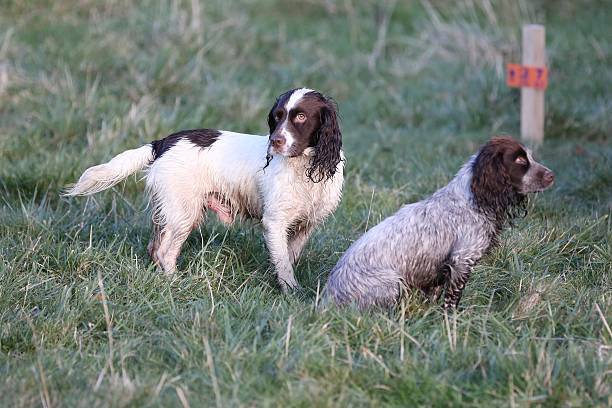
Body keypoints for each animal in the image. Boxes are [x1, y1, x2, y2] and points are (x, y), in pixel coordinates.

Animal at [67, 87, 346, 292]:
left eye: (300, 117)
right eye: (276, 117)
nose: (275, 141)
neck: (305, 166)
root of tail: (162, 143)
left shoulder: (306, 224)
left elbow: (289, 257)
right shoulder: (275, 222)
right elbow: (285, 264)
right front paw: (291, 292)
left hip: (170, 211)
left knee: (154, 248)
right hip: (183, 212)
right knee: (165, 252)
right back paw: (176, 283)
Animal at [326, 137, 556, 310]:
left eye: (530, 157)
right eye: (520, 160)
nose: (552, 175)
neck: (473, 200)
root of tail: (326, 300)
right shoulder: (462, 260)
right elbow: (452, 300)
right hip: (392, 284)